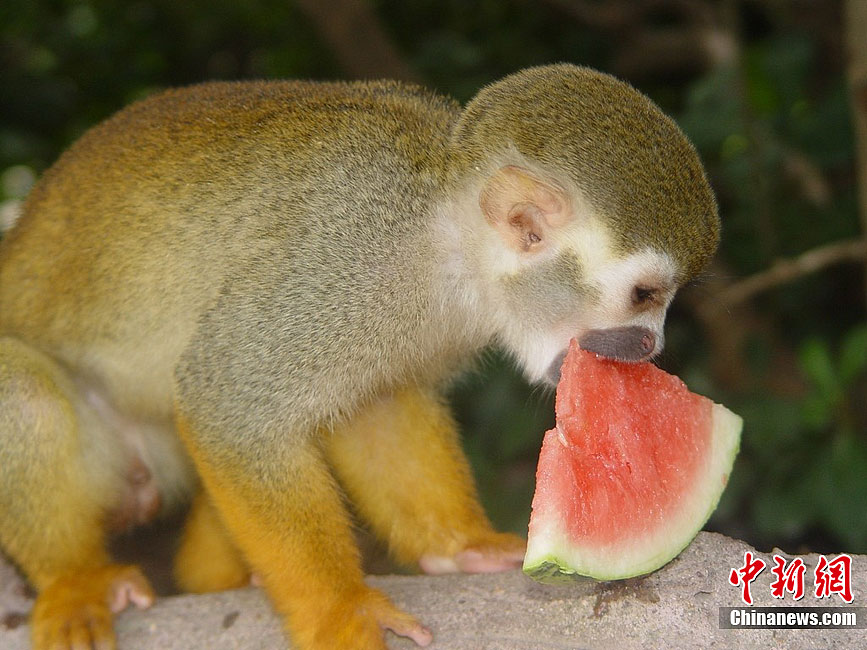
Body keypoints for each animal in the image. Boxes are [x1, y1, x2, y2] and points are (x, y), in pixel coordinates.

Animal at [0, 64, 720, 648]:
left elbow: (378, 409)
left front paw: (461, 547)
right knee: (28, 398)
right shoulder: (340, 267)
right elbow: (231, 400)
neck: (444, 241)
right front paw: (341, 610)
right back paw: (73, 580)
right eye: (645, 295)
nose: (651, 346)